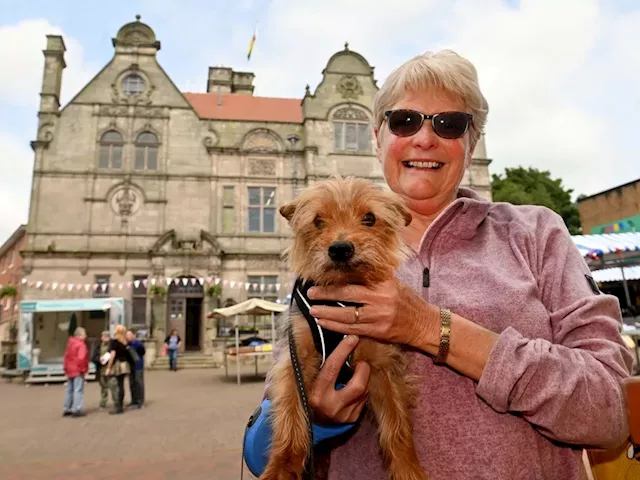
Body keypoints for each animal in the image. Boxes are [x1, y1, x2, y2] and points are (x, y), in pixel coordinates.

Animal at [262, 176, 428, 480]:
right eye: (317, 221)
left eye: (369, 218)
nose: (340, 248)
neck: (343, 296)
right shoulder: (296, 360)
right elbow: (291, 414)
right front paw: (281, 467)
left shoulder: (383, 366)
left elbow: (397, 426)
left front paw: (408, 470)